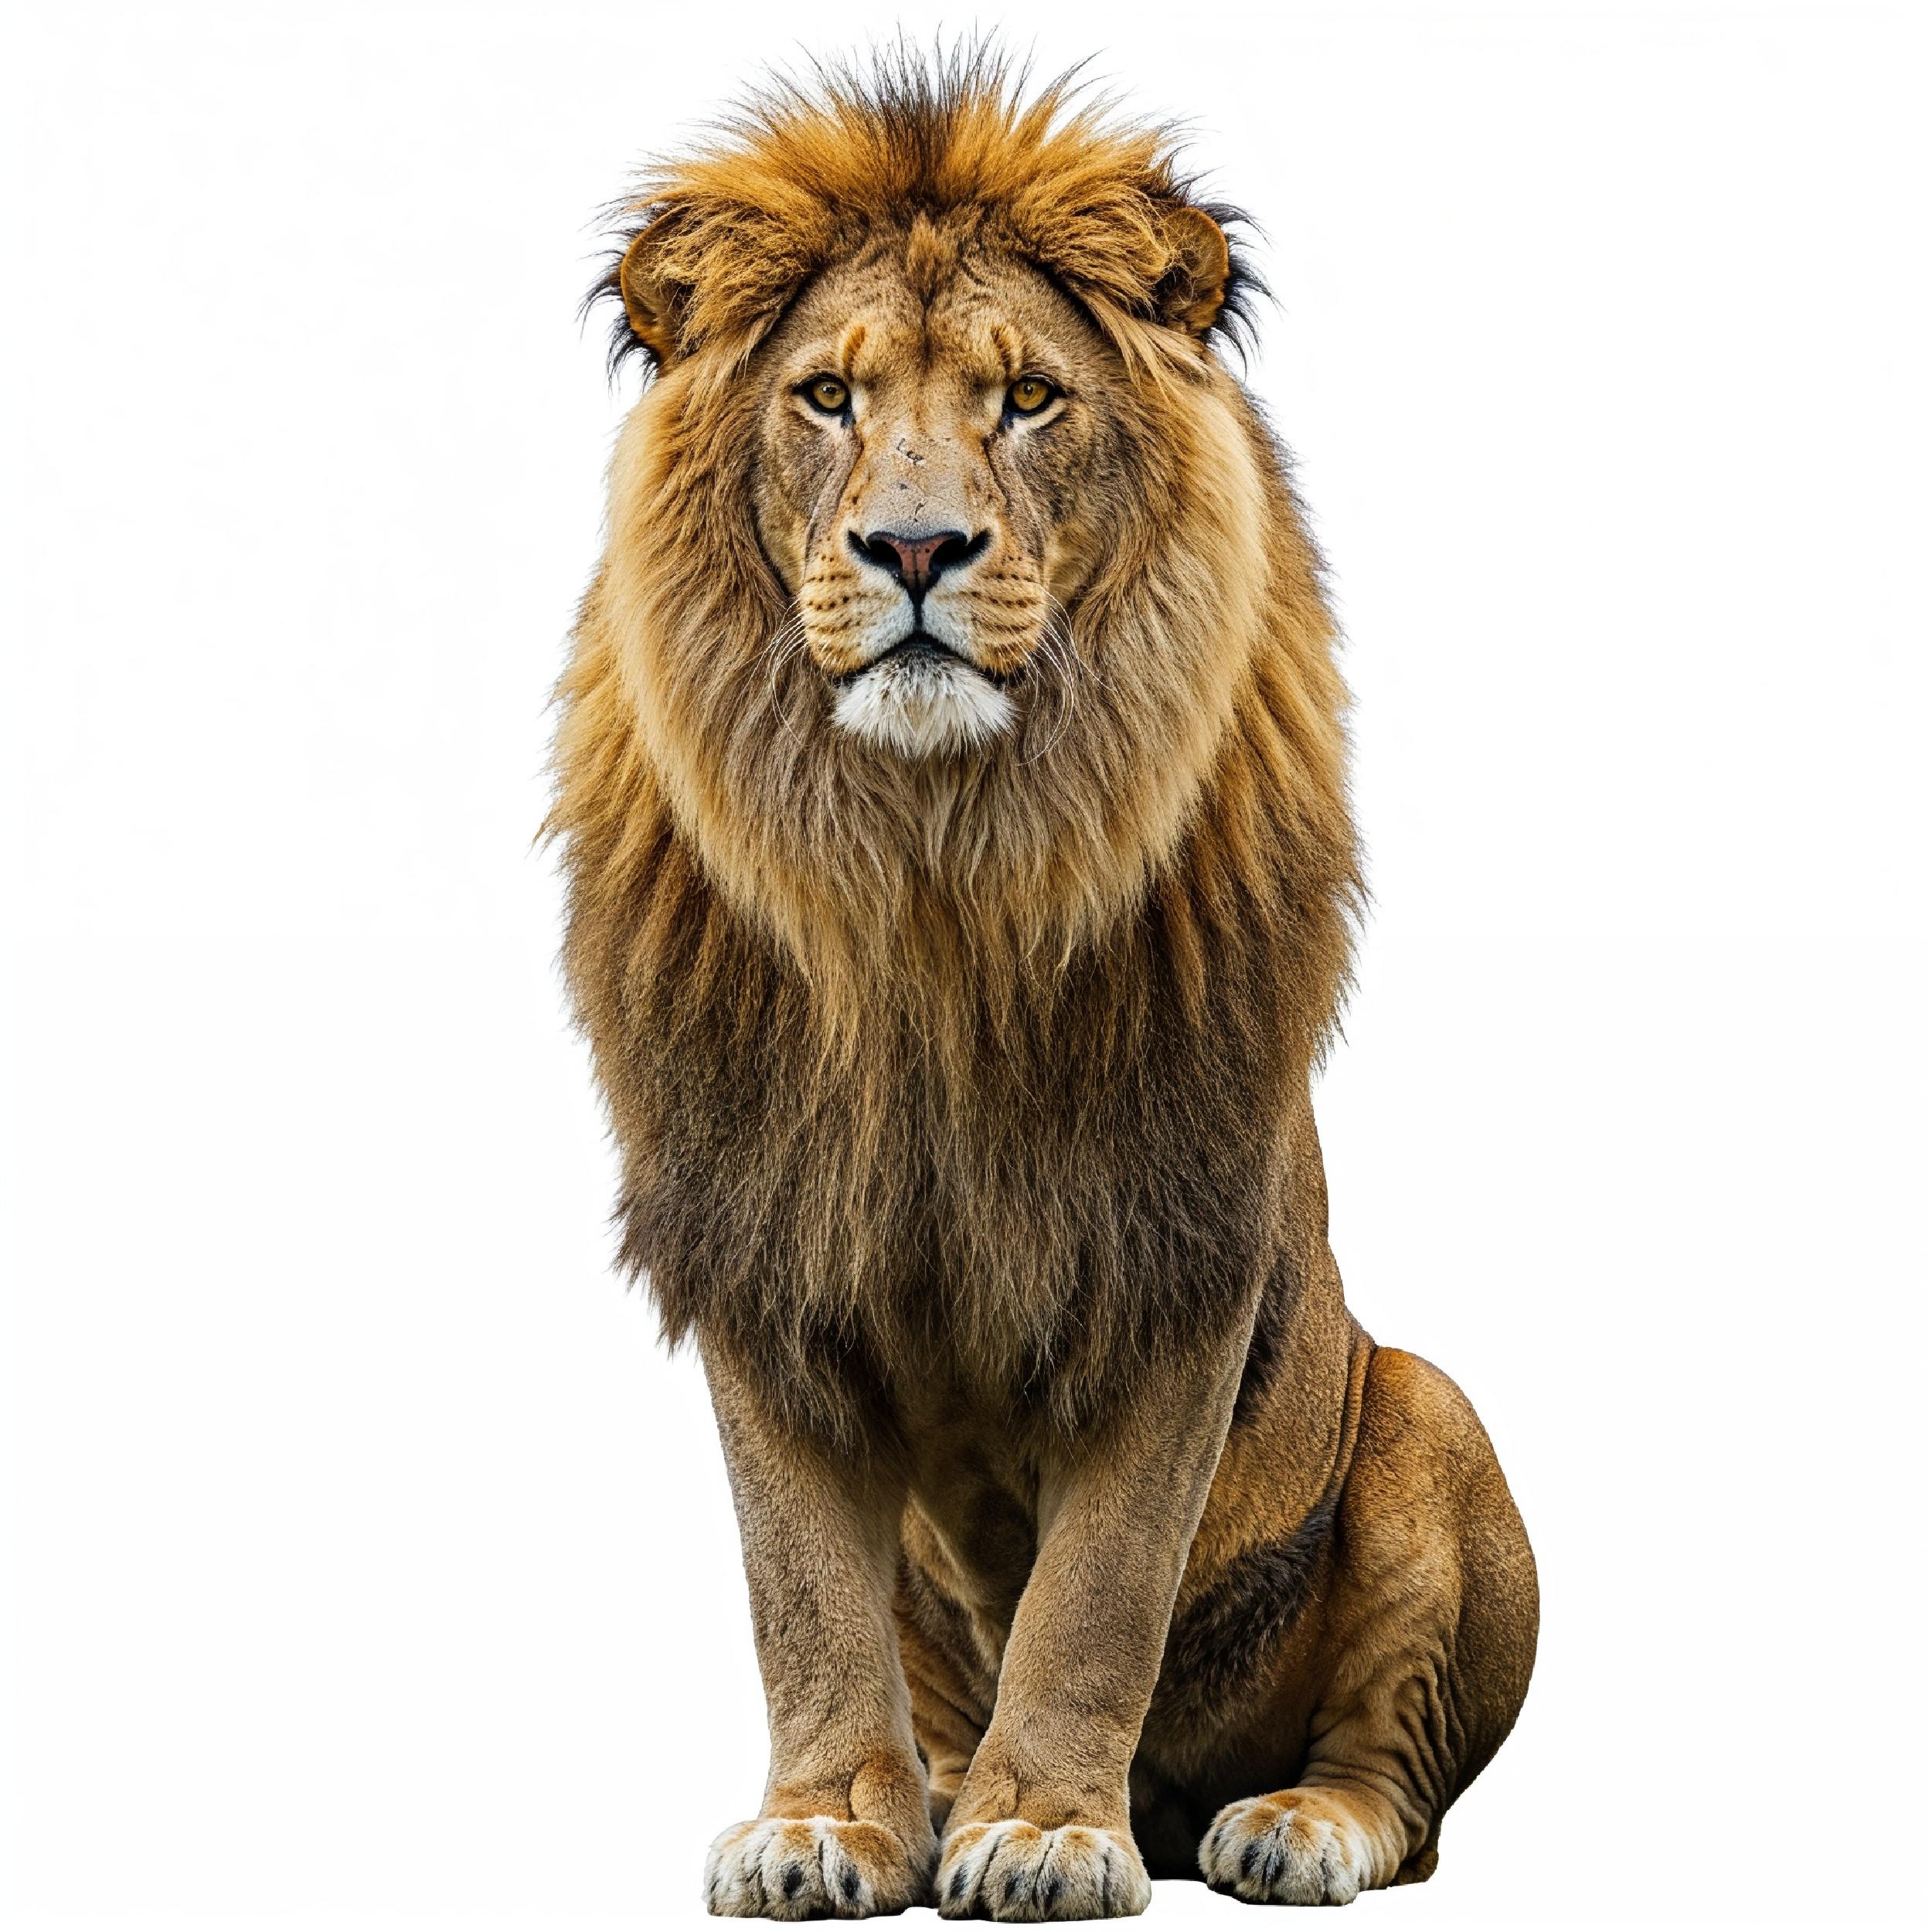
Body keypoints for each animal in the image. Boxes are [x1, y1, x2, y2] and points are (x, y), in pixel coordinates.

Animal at [551, 47, 1537, 1919]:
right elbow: (801, 1585)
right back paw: (936, 1793)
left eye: (1025, 400)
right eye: (825, 397)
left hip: (1425, 1417)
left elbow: (1098, 1588)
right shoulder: (764, 1235)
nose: (915, 548)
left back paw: (1283, 1821)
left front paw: (1050, 1827)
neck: (933, 871)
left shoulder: (1175, 1239)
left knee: (1403, 1777)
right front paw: (831, 1820)